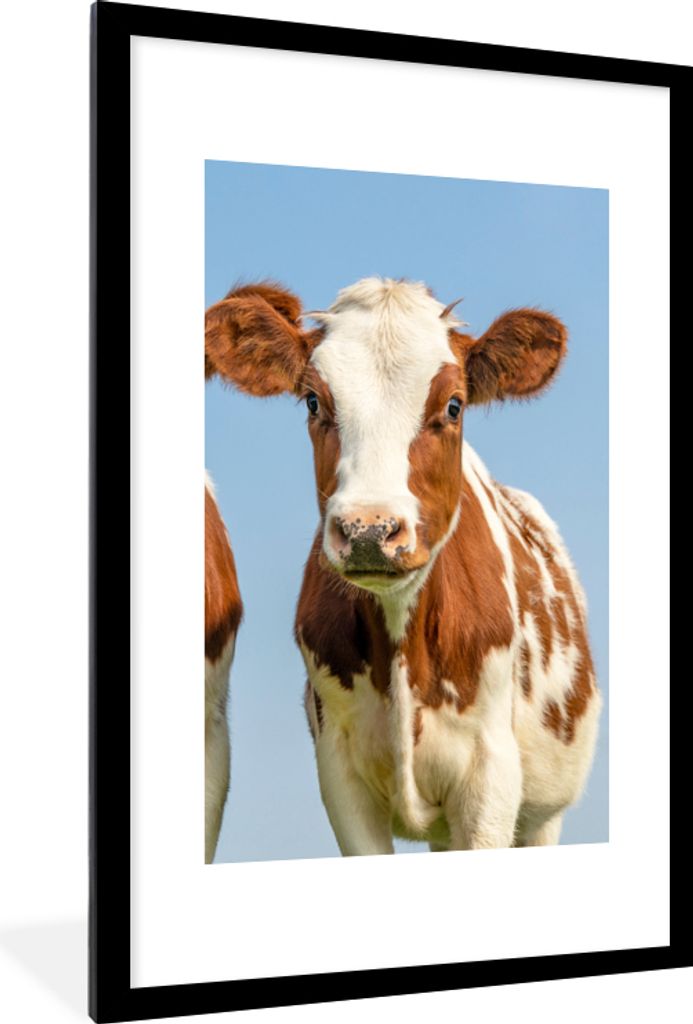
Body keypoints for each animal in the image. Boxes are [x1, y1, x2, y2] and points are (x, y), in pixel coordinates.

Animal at [204, 277, 601, 855]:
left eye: (454, 405)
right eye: (313, 400)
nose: (369, 529)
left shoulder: (490, 777)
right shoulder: (341, 774)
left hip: (544, 813)